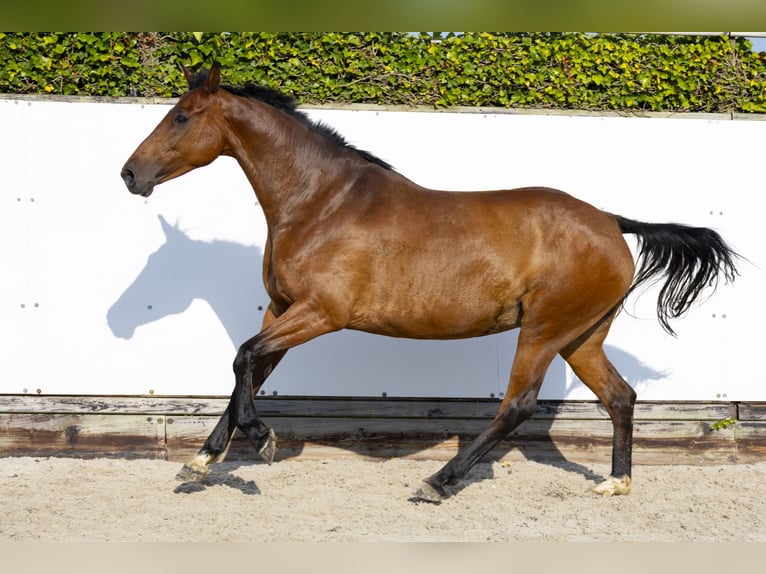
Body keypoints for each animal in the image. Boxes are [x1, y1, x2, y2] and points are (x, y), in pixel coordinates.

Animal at [123, 64, 740, 504]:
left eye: (182, 118)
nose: (130, 174)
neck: (321, 202)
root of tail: (612, 222)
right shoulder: (281, 309)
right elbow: (246, 368)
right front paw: (200, 461)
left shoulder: (321, 313)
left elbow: (244, 359)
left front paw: (263, 440)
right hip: (581, 336)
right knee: (620, 397)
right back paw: (616, 483)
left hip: (544, 330)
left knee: (517, 406)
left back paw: (438, 482)